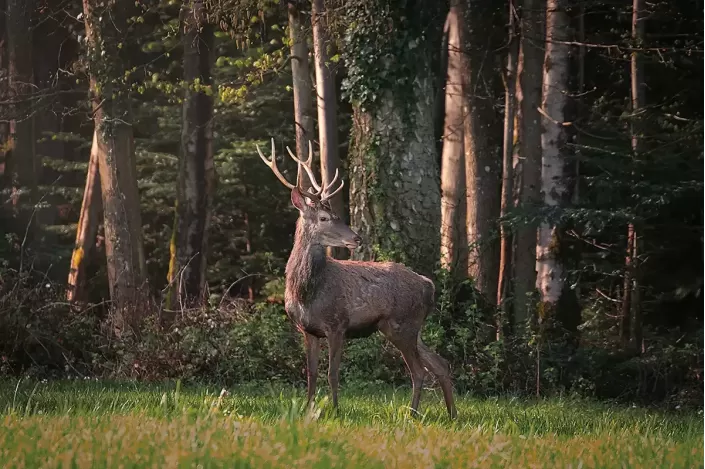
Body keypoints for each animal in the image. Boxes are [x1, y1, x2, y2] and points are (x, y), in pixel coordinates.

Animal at [254, 138, 456, 416]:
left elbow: (333, 373)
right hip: (412, 328)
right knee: (440, 363)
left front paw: (335, 410)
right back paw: (452, 414)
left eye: (336, 216)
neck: (307, 292)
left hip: (402, 324)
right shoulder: (307, 329)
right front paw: (308, 409)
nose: (357, 238)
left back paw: (412, 413)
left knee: (419, 370)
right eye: (324, 217)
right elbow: (311, 373)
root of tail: (429, 285)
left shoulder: (337, 324)